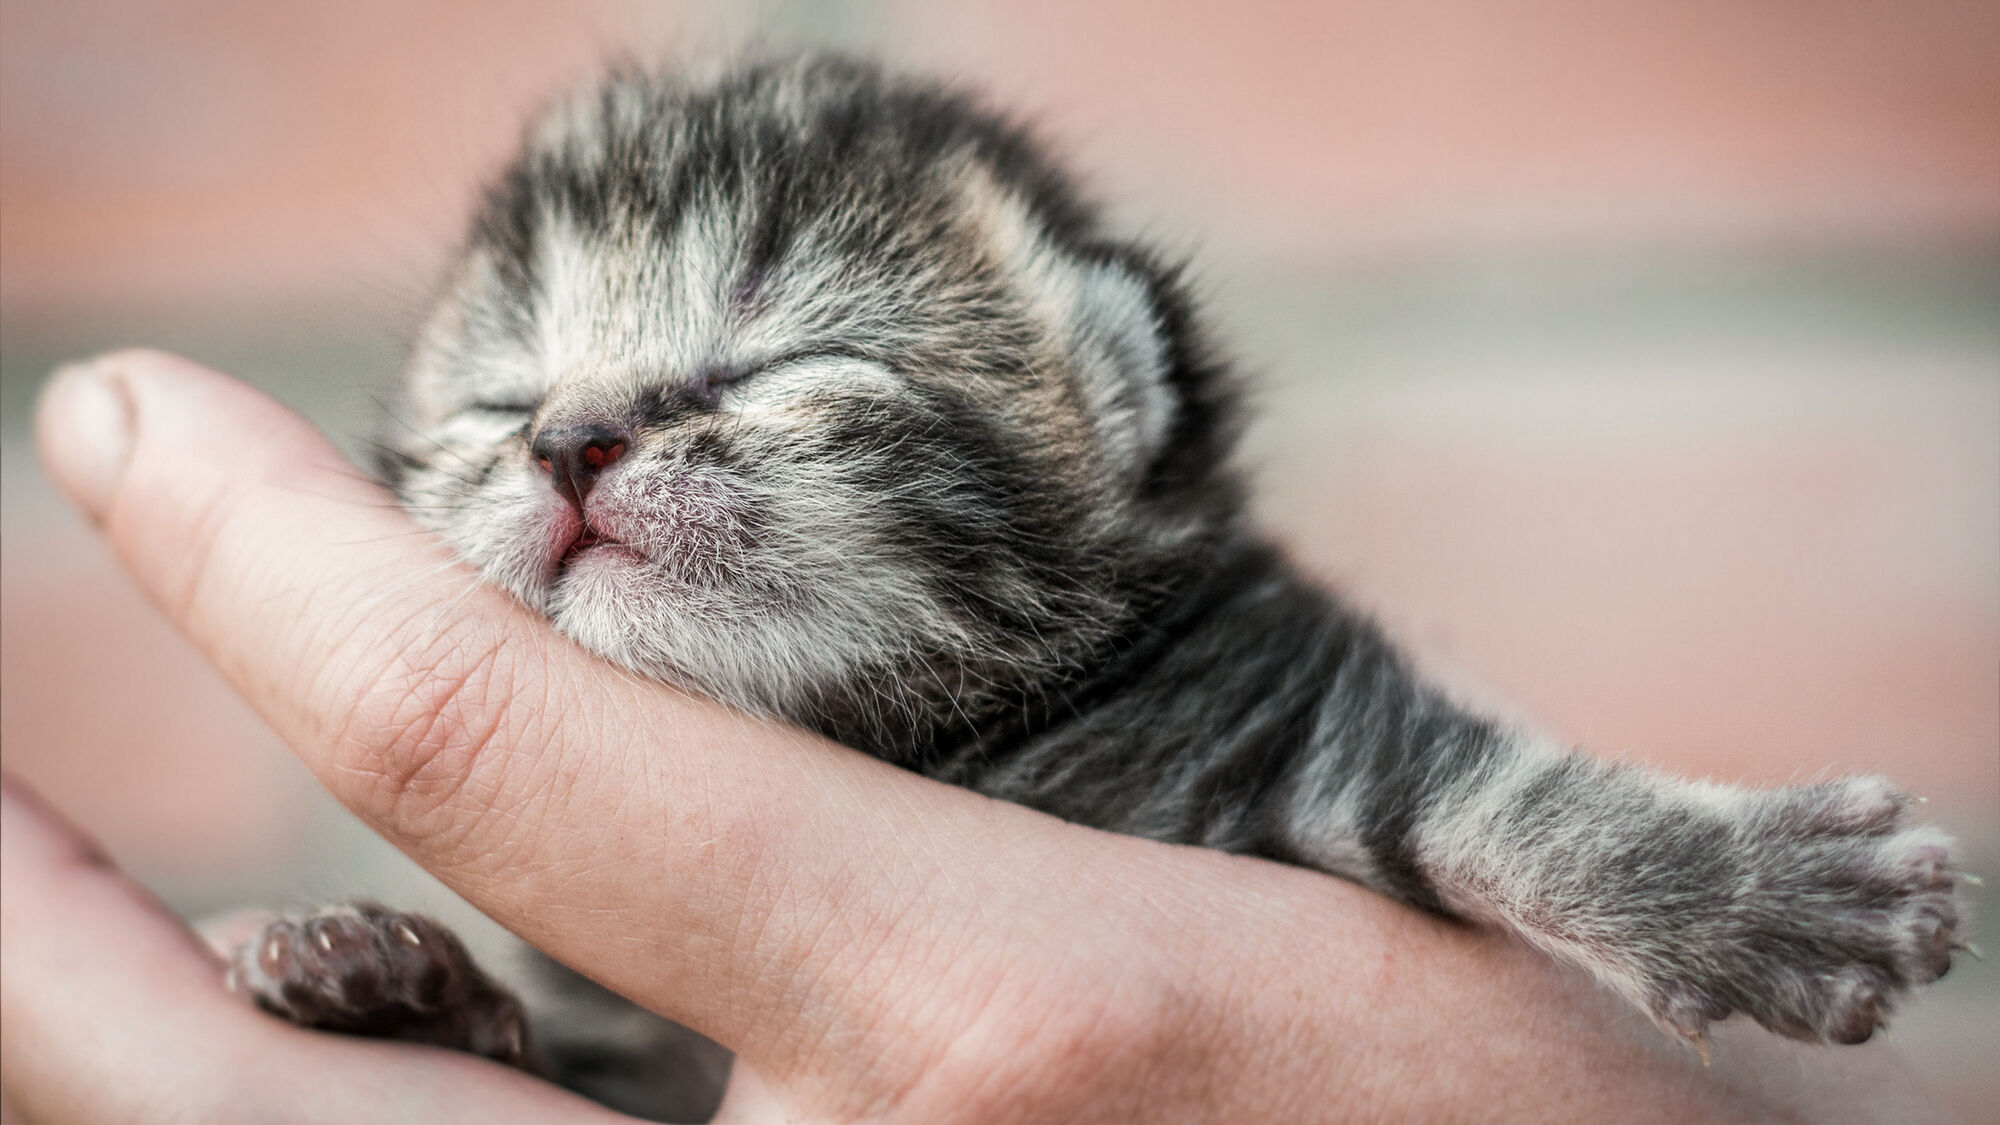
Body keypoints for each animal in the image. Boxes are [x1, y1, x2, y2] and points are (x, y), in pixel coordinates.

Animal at [230, 50, 1968, 1112]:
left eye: (783, 360)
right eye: (499, 403)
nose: (570, 444)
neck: (907, 730)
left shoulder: (1269, 698)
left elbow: (1485, 795)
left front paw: (1770, 894)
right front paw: (383, 971)